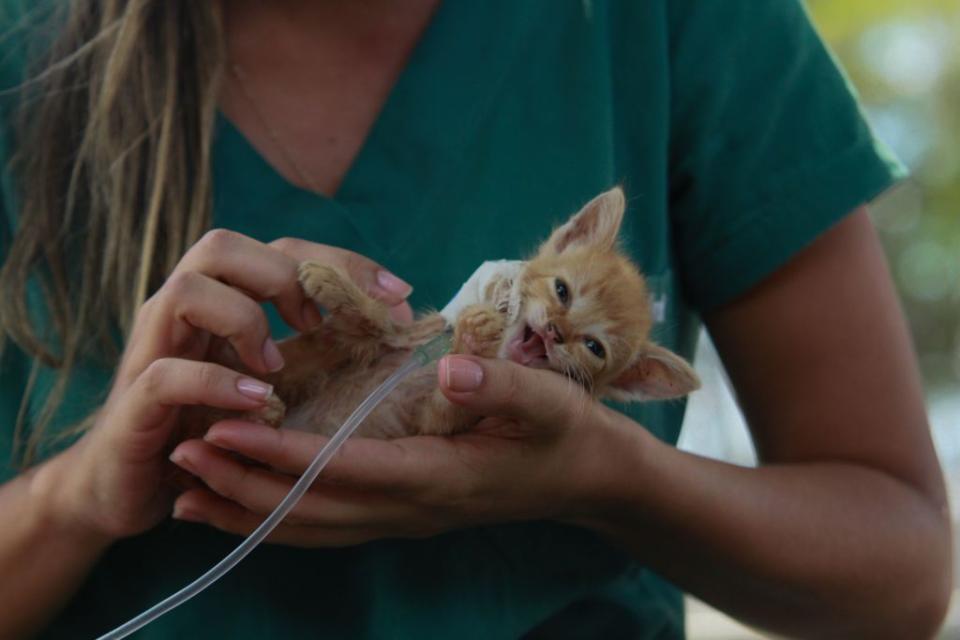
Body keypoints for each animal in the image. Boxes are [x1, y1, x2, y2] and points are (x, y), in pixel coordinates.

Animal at [248, 189, 696, 440]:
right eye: (562, 291)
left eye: (593, 347)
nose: (555, 331)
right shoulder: (400, 338)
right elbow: (372, 324)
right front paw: (336, 284)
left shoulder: (432, 423)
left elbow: (445, 410)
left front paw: (472, 340)